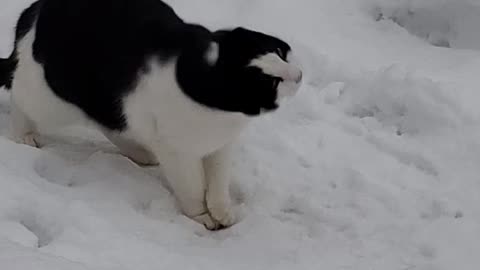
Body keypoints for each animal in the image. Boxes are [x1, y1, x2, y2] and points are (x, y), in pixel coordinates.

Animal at [0, 0, 300, 230]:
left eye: (278, 52)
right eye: (271, 83)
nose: (298, 75)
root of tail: (35, 11)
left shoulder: (220, 146)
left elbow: (217, 182)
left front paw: (222, 211)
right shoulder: (178, 153)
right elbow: (192, 187)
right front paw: (203, 217)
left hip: (106, 101)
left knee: (110, 122)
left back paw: (141, 153)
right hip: (49, 95)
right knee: (19, 95)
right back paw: (24, 136)